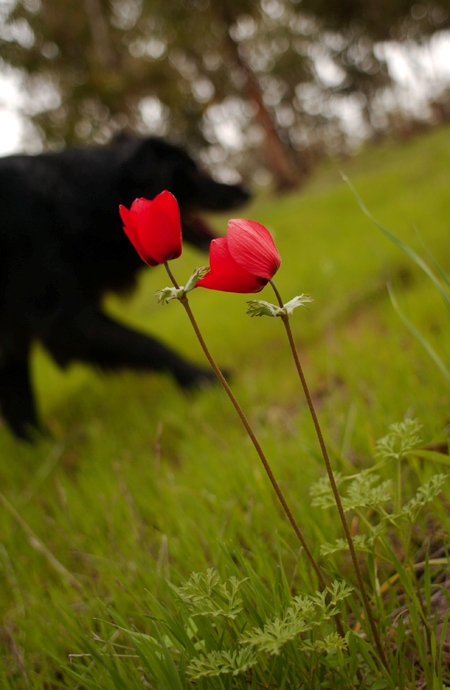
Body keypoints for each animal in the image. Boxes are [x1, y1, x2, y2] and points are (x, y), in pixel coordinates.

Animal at [0, 135, 250, 438]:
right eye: (191, 172)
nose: (246, 191)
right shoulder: (60, 317)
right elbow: (147, 342)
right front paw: (201, 378)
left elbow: (17, 395)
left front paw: (43, 444)